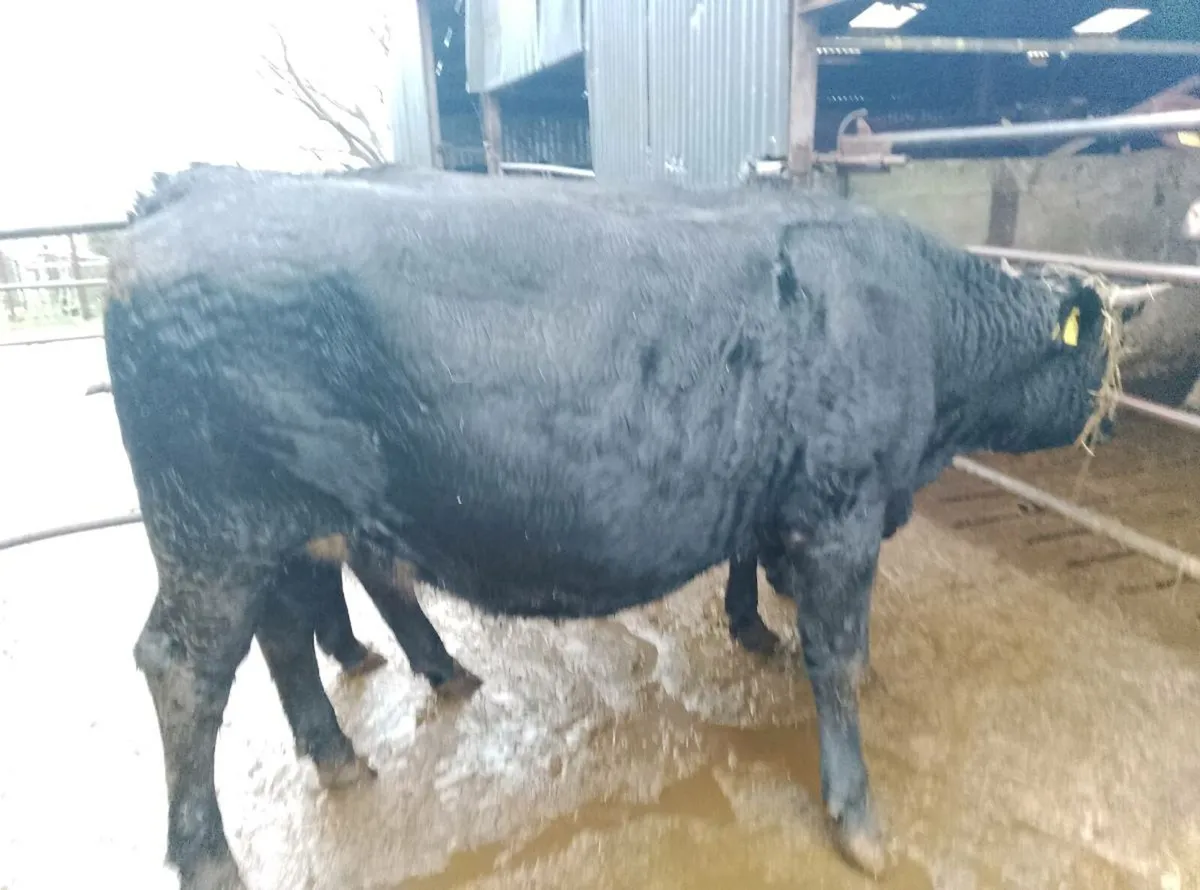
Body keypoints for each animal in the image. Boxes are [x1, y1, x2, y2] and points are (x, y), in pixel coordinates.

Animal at [103, 166, 1116, 890]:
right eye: (1102, 355)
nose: (1114, 420)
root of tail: (202, 185)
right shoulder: (841, 511)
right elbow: (836, 656)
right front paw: (859, 819)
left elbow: (765, 583)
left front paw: (755, 631)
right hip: (214, 527)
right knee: (182, 665)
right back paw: (210, 857)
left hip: (276, 529)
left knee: (279, 632)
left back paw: (344, 751)